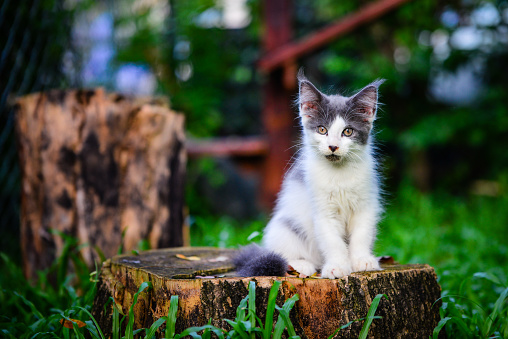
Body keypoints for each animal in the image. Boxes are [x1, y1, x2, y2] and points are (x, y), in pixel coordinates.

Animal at [236, 71, 382, 278]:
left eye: (347, 131)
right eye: (322, 130)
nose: (333, 146)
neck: (339, 174)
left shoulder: (365, 204)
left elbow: (361, 235)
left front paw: (362, 260)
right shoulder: (322, 210)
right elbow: (333, 241)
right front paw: (337, 266)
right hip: (284, 226)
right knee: (281, 254)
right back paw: (301, 265)